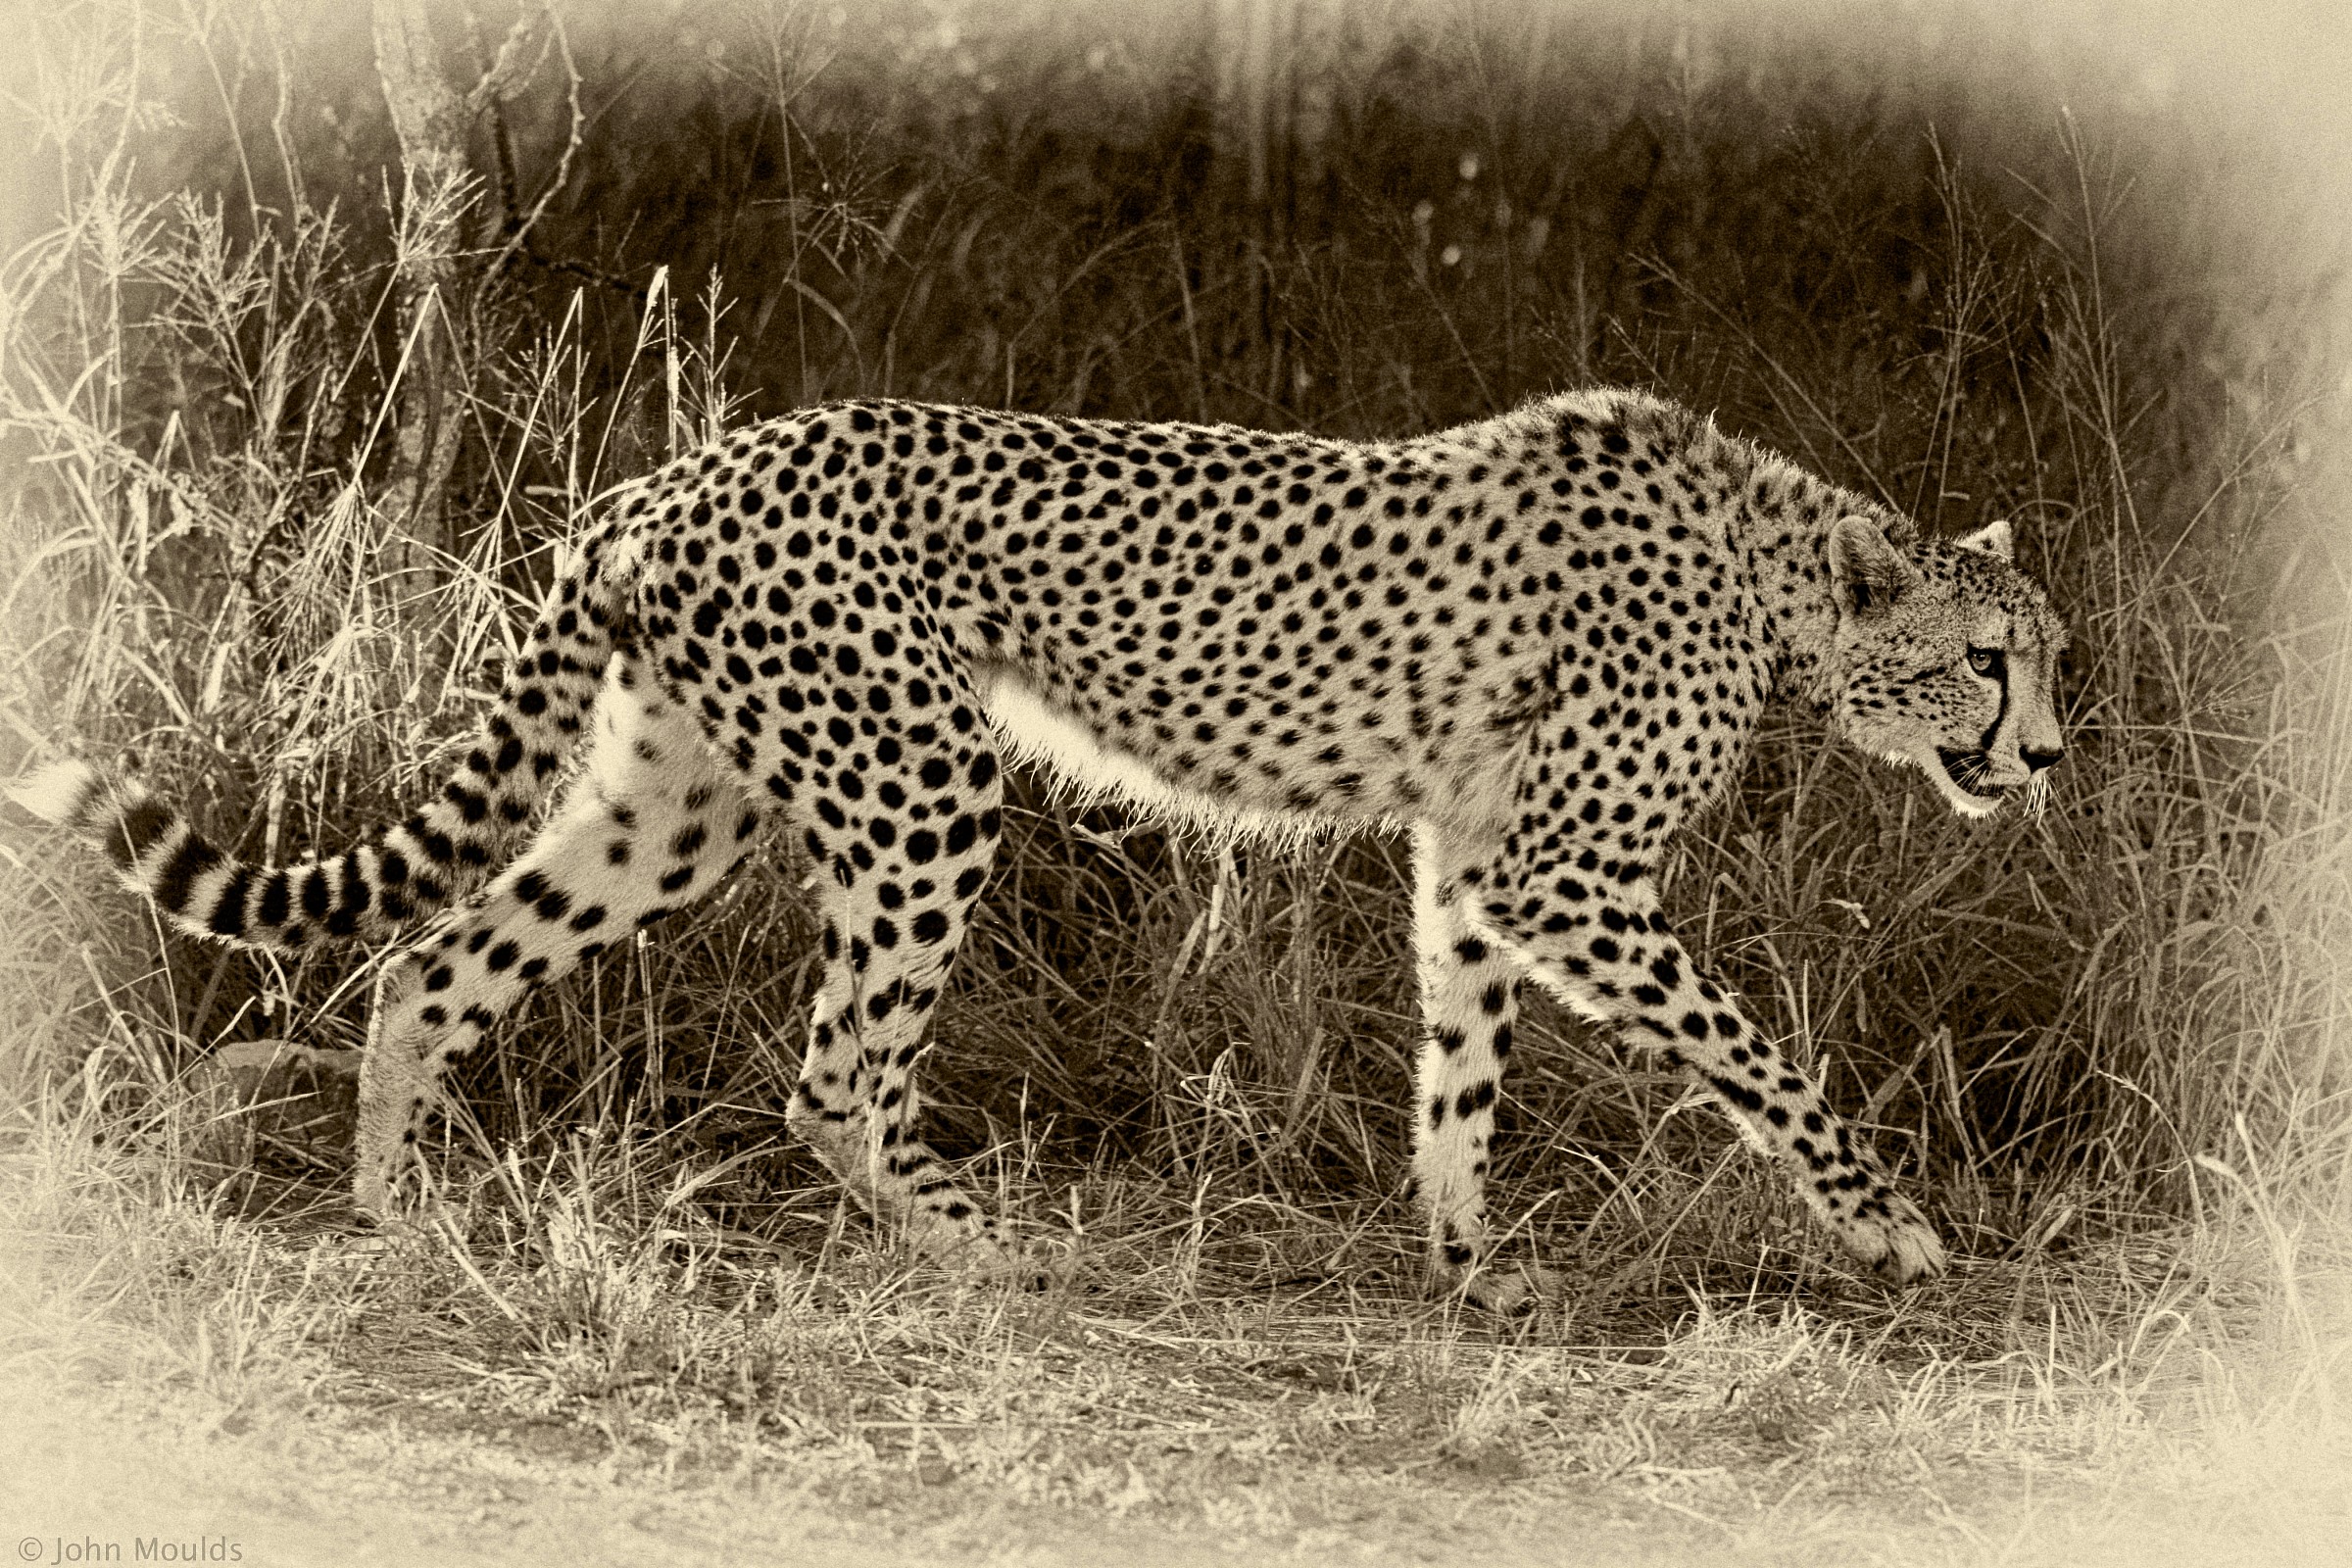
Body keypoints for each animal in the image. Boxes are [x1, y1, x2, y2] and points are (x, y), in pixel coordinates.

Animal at [11, 386, 2067, 1306]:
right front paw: (1888, 1222)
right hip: (925, 780)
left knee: (436, 958)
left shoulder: (1479, 866)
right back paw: (978, 1244)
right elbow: (1761, 1058)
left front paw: (1468, 1265)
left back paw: (393, 1214)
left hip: (674, 802)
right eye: (1991, 659)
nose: (2043, 754)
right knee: (833, 1076)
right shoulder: (1562, 875)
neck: (1774, 571)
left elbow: (1459, 1073)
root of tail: (678, 470)